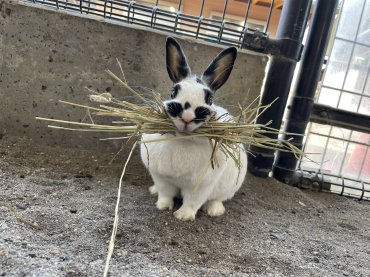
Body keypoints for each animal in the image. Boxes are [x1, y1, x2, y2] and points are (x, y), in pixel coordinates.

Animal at [140, 37, 247, 221]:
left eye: (209, 99)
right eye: (173, 92)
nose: (187, 117)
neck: (182, 139)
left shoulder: (201, 186)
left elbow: (192, 202)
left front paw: (183, 216)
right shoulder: (162, 179)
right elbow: (165, 194)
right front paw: (163, 206)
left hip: (228, 187)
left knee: (217, 198)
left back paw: (215, 210)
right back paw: (153, 190)